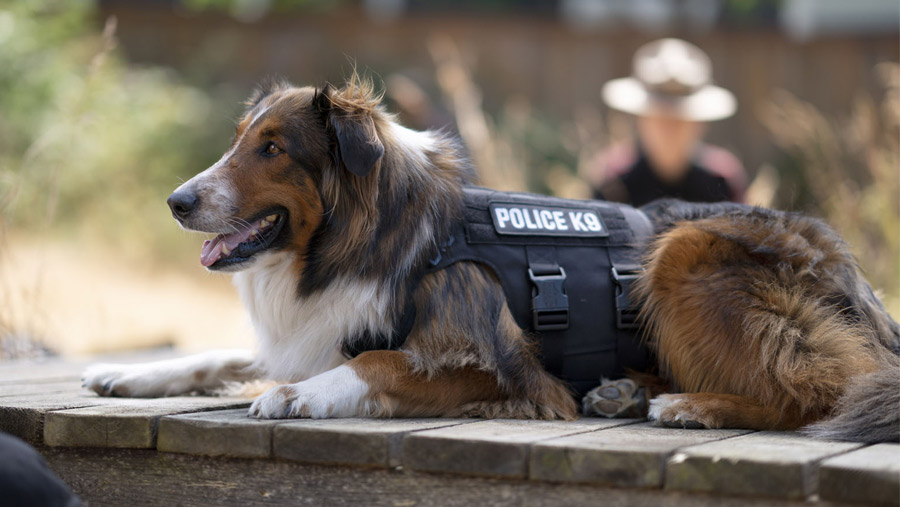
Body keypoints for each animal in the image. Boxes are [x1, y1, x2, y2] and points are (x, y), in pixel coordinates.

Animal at [81, 76, 896, 444]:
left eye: (274, 148)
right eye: (241, 141)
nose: (176, 201)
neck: (371, 235)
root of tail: (857, 278)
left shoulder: (502, 367)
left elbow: (376, 363)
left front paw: (296, 394)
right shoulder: (313, 329)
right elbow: (220, 354)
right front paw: (128, 372)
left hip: (684, 251)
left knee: (825, 388)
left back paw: (690, 404)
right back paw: (625, 394)